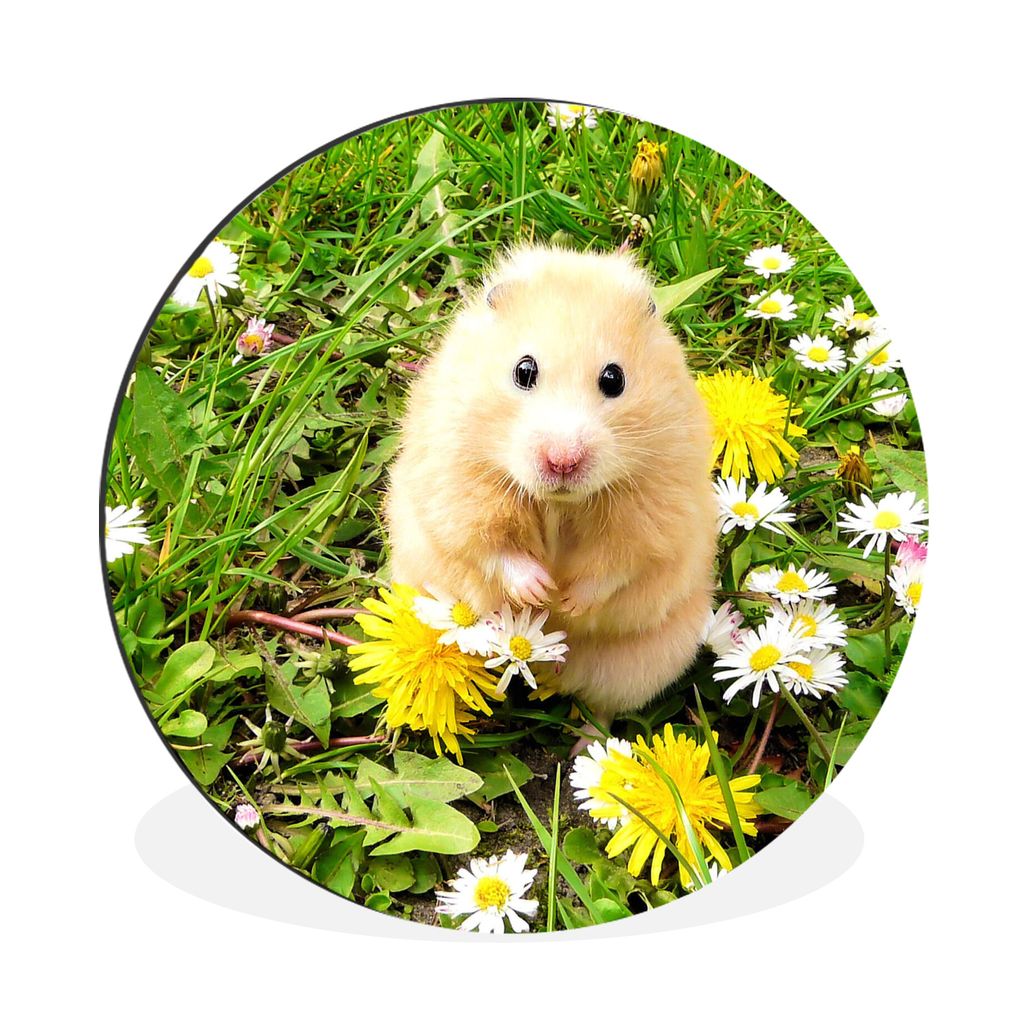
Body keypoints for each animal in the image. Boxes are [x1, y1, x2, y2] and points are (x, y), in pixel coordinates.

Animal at [385, 244, 717, 742]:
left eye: (614, 379)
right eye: (524, 371)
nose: (563, 461)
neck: (559, 504)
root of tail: (549, 668)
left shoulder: (656, 509)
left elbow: (618, 564)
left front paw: (566, 603)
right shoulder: (457, 485)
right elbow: (491, 547)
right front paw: (540, 593)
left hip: (639, 664)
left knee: (601, 707)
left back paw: (589, 748)